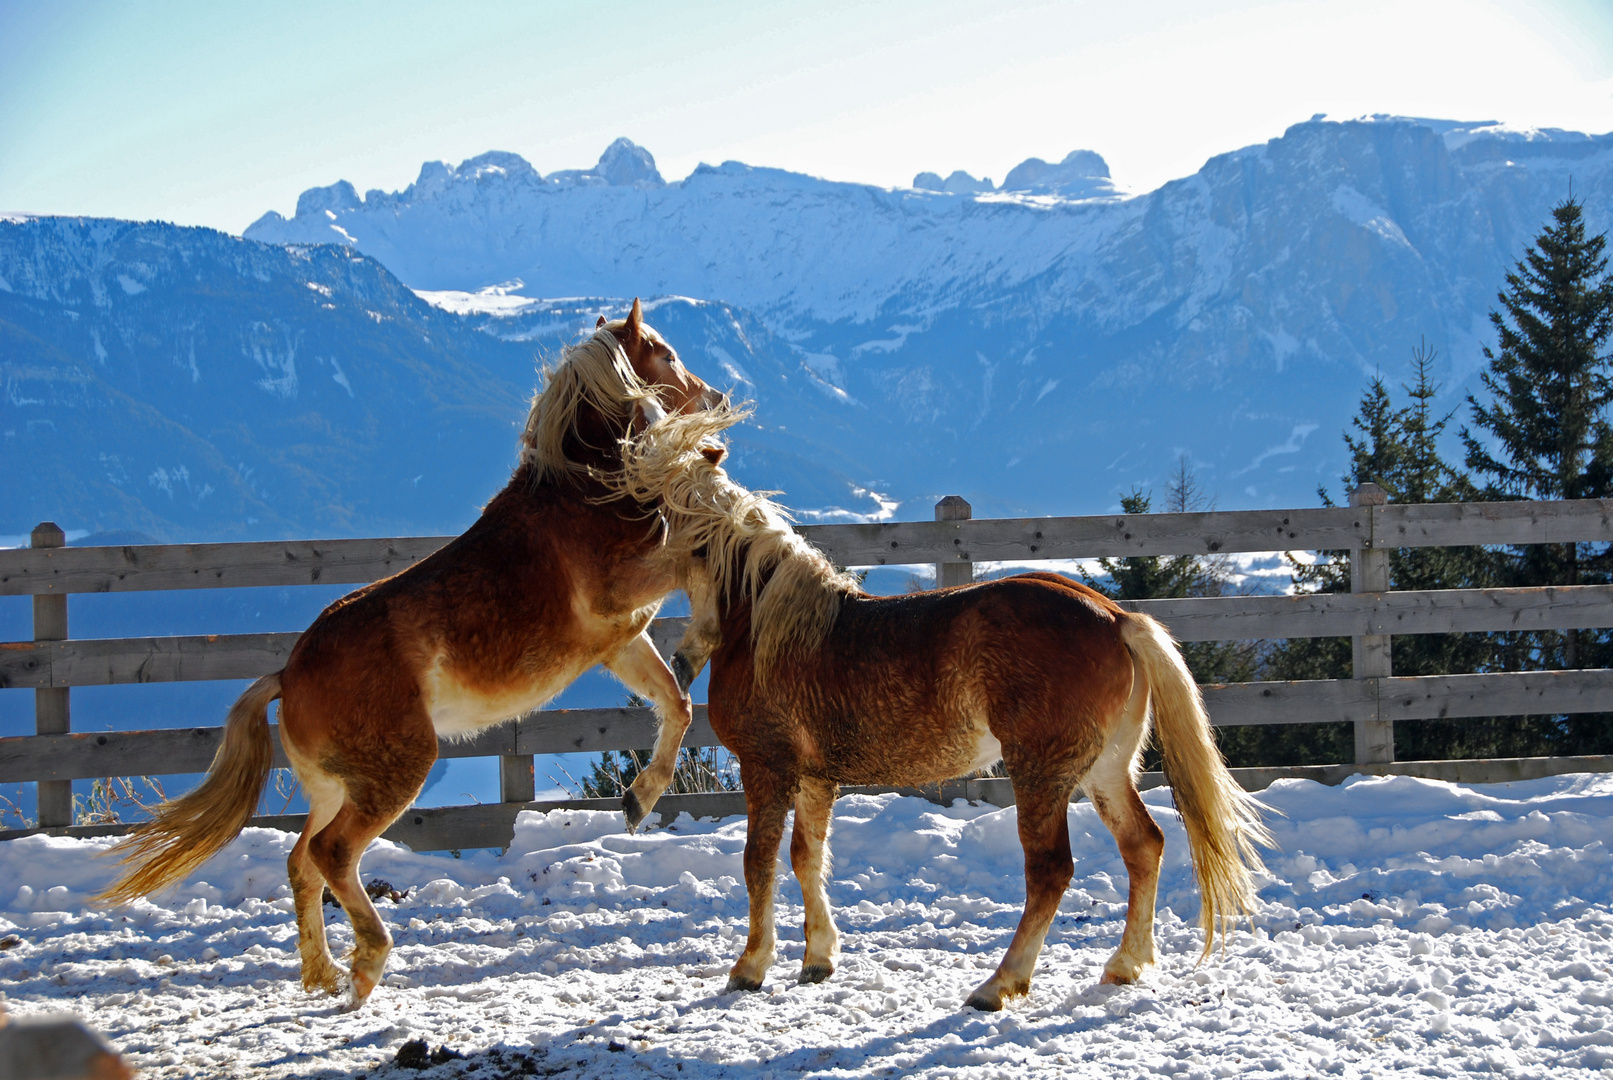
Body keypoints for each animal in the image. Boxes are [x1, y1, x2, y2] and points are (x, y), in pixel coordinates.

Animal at [104, 298, 722, 1005]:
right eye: (666, 355)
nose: (714, 397)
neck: (582, 492)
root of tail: (287, 673)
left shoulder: (619, 640)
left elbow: (675, 702)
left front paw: (639, 799)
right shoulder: (626, 590)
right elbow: (695, 560)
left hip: (336, 786)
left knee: (301, 860)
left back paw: (321, 974)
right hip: (396, 772)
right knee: (332, 854)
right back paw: (367, 962)